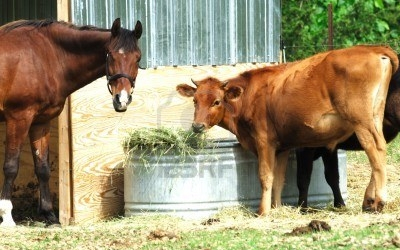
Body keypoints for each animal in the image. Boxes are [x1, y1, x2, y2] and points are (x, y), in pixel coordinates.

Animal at [0, 18, 143, 224]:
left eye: (138, 58)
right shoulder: (18, 118)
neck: (43, 57)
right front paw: (6, 216)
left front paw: (49, 215)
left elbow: (42, 168)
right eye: (111, 55)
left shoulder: (40, 121)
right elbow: (11, 166)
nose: (121, 100)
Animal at [177, 46, 398, 216]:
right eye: (195, 100)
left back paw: (379, 201)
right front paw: (276, 207)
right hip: (374, 116)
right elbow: (279, 179)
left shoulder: (264, 141)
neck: (250, 96)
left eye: (216, 101)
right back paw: (371, 201)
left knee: (375, 150)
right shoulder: (282, 147)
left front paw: (263, 211)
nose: (197, 126)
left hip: (361, 120)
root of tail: (373, 48)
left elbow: (266, 176)